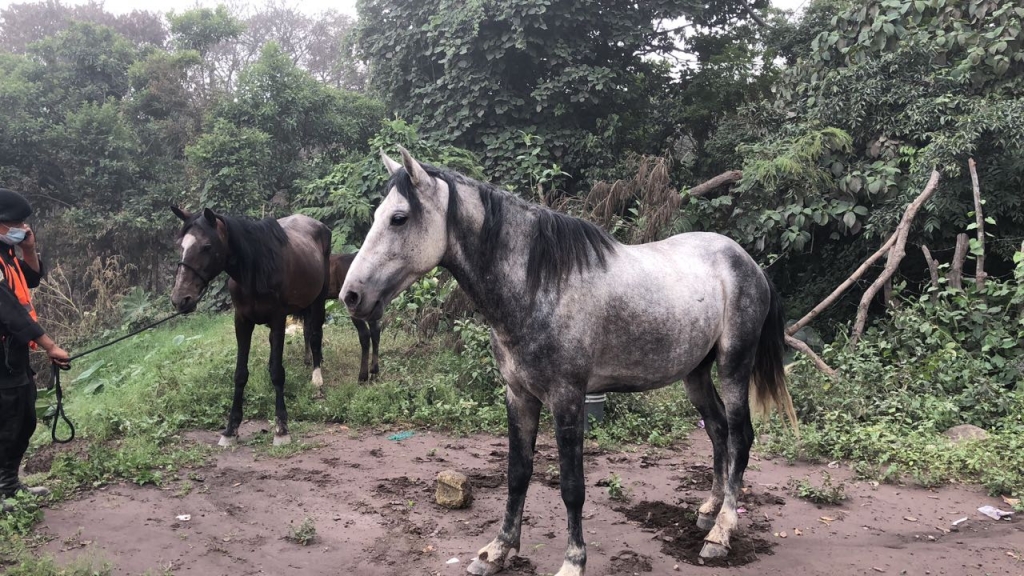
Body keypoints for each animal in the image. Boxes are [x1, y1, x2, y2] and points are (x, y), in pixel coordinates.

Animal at [169, 207, 331, 447]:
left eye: (207, 246)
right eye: (181, 246)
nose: (181, 299)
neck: (255, 270)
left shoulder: (278, 319)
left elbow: (277, 372)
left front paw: (281, 428)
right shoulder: (242, 322)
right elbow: (240, 373)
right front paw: (231, 429)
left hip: (318, 299)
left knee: (314, 335)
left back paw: (317, 378)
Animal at [341, 147, 797, 576]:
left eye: (399, 218)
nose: (351, 295)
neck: (539, 285)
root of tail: (750, 264)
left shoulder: (568, 398)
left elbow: (572, 487)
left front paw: (573, 561)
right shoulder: (518, 395)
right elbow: (517, 473)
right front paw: (497, 551)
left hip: (733, 366)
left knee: (740, 437)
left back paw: (722, 532)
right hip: (695, 373)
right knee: (717, 430)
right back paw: (708, 512)